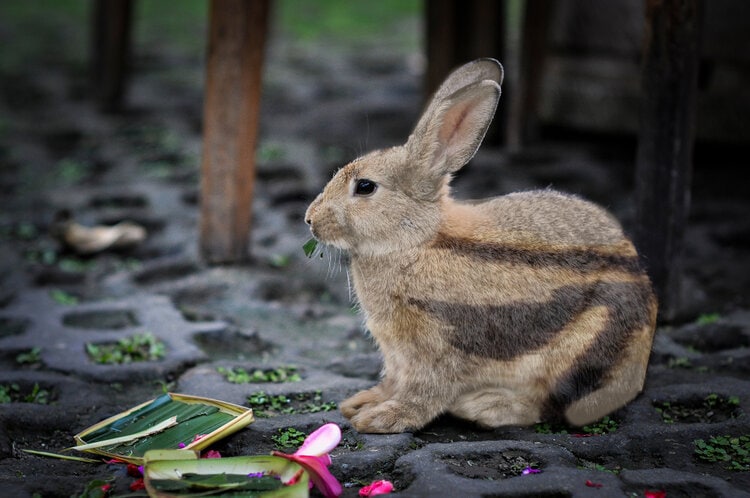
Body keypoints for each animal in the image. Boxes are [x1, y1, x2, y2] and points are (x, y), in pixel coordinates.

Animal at [305, 58, 657, 434]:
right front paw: (362, 403)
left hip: (585, 350)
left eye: (366, 187)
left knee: (552, 406)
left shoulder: (439, 346)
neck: (417, 241)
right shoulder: (397, 353)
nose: (310, 219)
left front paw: (383, 418)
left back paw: (484, 407)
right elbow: (395, 380)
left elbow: (425, 390)